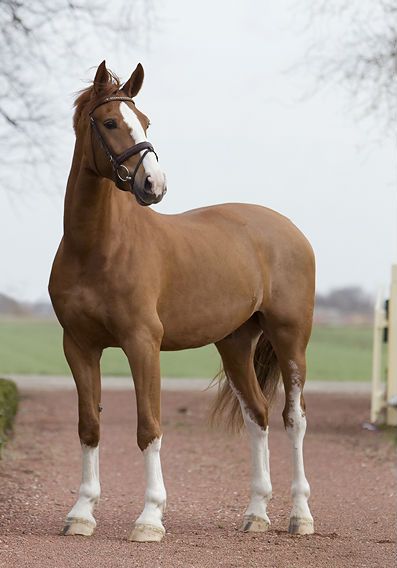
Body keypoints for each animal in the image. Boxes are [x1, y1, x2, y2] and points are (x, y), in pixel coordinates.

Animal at [48, 60, 316, 544]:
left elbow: (149, 427)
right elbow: (89, 426)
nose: (154, 184)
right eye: (110, 122)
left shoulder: (142, 344)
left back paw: (300, 516)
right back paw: (256, 514)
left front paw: (150, 519)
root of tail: (288, 230)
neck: (97, 247)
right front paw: (80, 514)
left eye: (145, 120)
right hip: (235, 344)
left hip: (291, 340)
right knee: (258, 415)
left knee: (294, 417)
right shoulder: (78, 345)